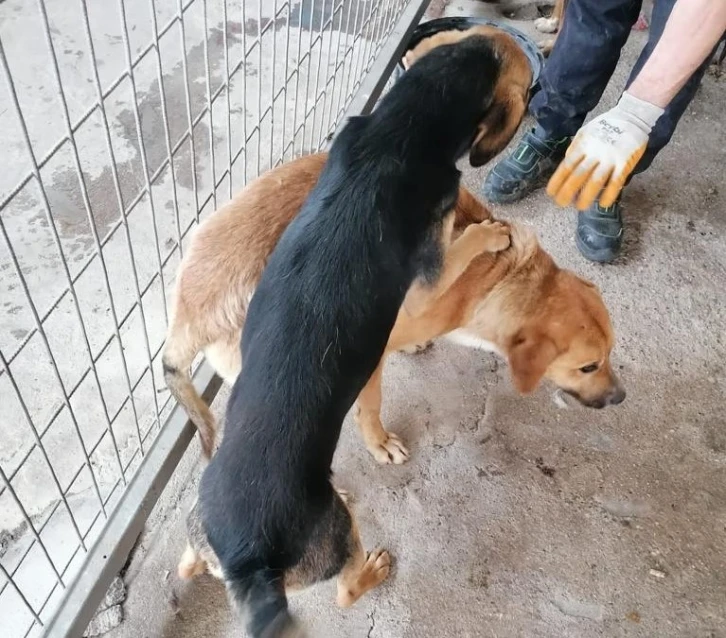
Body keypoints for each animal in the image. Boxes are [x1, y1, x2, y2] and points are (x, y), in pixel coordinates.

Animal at [164, 152, 624, 468]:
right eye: (588, 366)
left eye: (610, 355)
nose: (620, 397)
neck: (498, 278)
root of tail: (188, 311)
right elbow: (371, 406)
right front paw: (379, 443)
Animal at [198, 37, 512, 636]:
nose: (489, 37)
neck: (400, 124)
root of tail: (249, 560)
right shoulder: (430, 269)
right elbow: (462, 248)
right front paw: (491, 234)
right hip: (337, 535)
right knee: (344, 592)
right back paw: (374, 570)